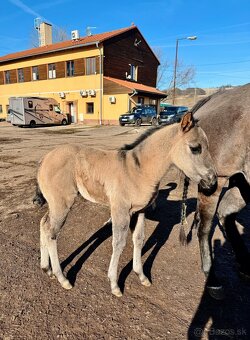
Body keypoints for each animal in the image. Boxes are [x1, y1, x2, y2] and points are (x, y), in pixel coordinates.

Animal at [33, 113, 217, 296]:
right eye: (195, 148)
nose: (212, 182)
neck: (139, 171)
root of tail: (44, 159)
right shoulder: (120, 210)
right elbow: (119, 243)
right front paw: (114, 284)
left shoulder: (140, 211)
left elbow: (138, 239)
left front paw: (141, 276)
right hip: (62, 204)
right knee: (51, 233)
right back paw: (62, 278)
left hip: (54, 204)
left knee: (43, 224)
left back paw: (46, 269)